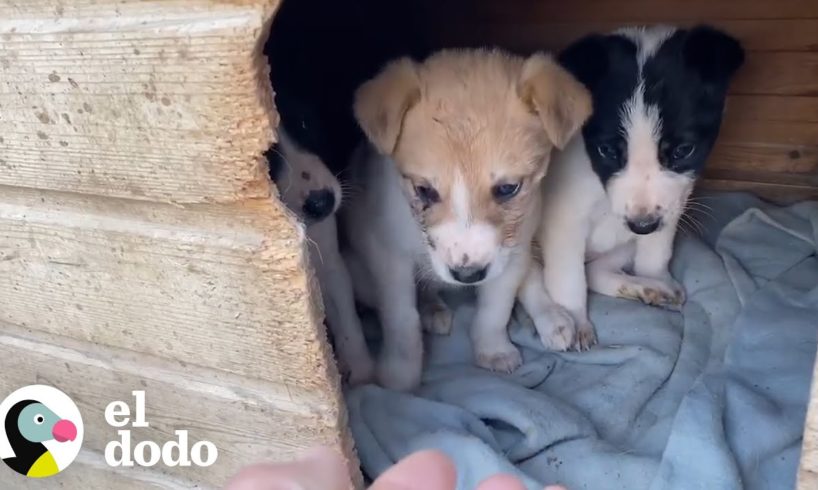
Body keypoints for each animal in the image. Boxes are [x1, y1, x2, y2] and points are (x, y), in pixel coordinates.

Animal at [342, 47, 588, 390]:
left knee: (533, 278)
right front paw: (398, 377)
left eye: (508, 188)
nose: (468, 275)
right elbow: (401, 319)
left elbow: (495, 309)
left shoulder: (511, 252)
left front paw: (493, 350)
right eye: (424, 190)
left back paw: (552, 318)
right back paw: (432, 309)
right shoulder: (387, 255)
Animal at [540, 25, 744, 348]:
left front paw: (656, 279)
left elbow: (654, 253)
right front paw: (576, 321)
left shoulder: (671, 206)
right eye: (607, 150)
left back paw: (647, 287)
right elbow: (568, 279)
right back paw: (554, 323)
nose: (642, 226)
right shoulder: (563, 221)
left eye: (683, 150)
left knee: (595, 271)